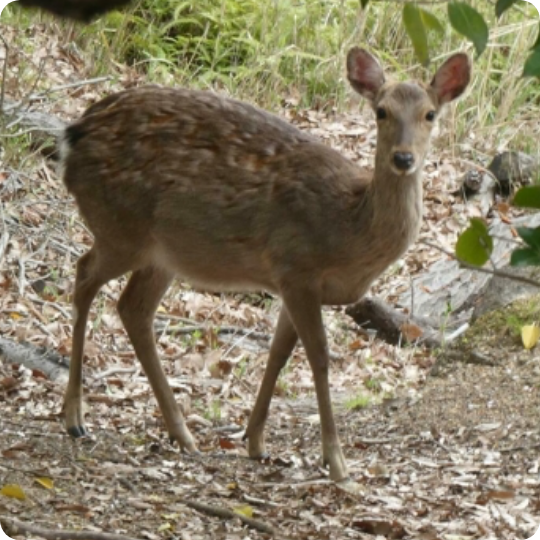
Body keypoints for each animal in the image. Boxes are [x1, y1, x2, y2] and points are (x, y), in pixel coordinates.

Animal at [59, 48, 470, 484]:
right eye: (381, 111)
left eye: (430, 114)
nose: (403, 158)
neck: (348, 227)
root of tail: (72, 135)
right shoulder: (296, 266)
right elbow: (319, 356)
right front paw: (336, 462)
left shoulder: (291, 282)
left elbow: (279, 353)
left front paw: (255, 441)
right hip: (123, 228)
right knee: (84, 276)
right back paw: (75, 417)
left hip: (163, 252)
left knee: (132, 308)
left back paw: (182, 433)